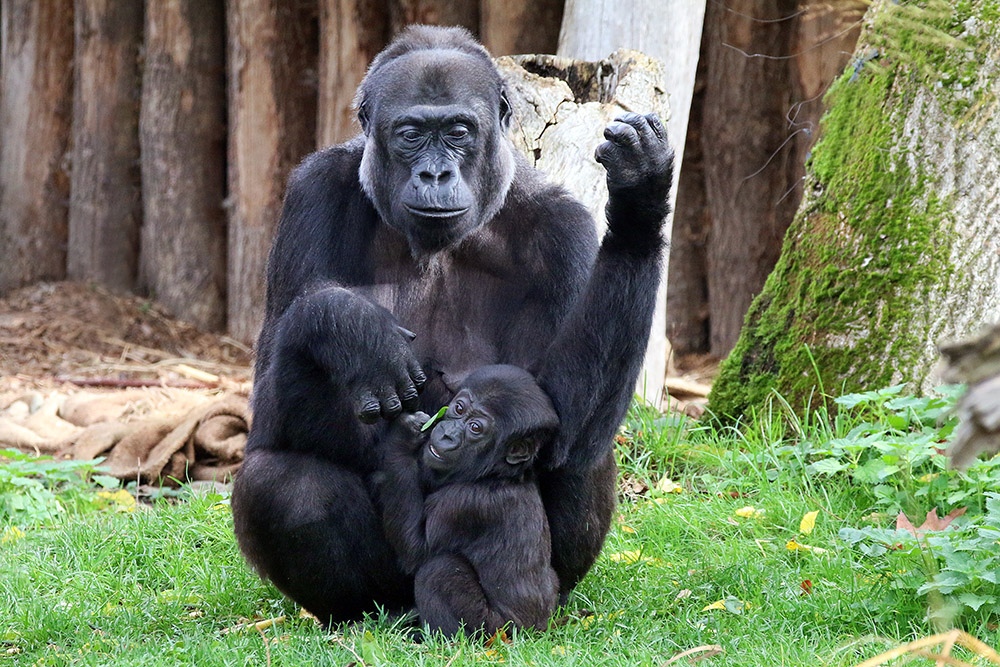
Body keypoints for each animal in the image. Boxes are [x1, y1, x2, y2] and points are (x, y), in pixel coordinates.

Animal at [376, 366, 564, 636]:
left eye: (475, 428)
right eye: (459, 408)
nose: (446, 435)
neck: (495, 473)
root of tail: (538, 631)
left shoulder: (465, 504)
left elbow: (415, 549)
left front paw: (403, 436)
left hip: (495, 631)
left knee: (440, 571)